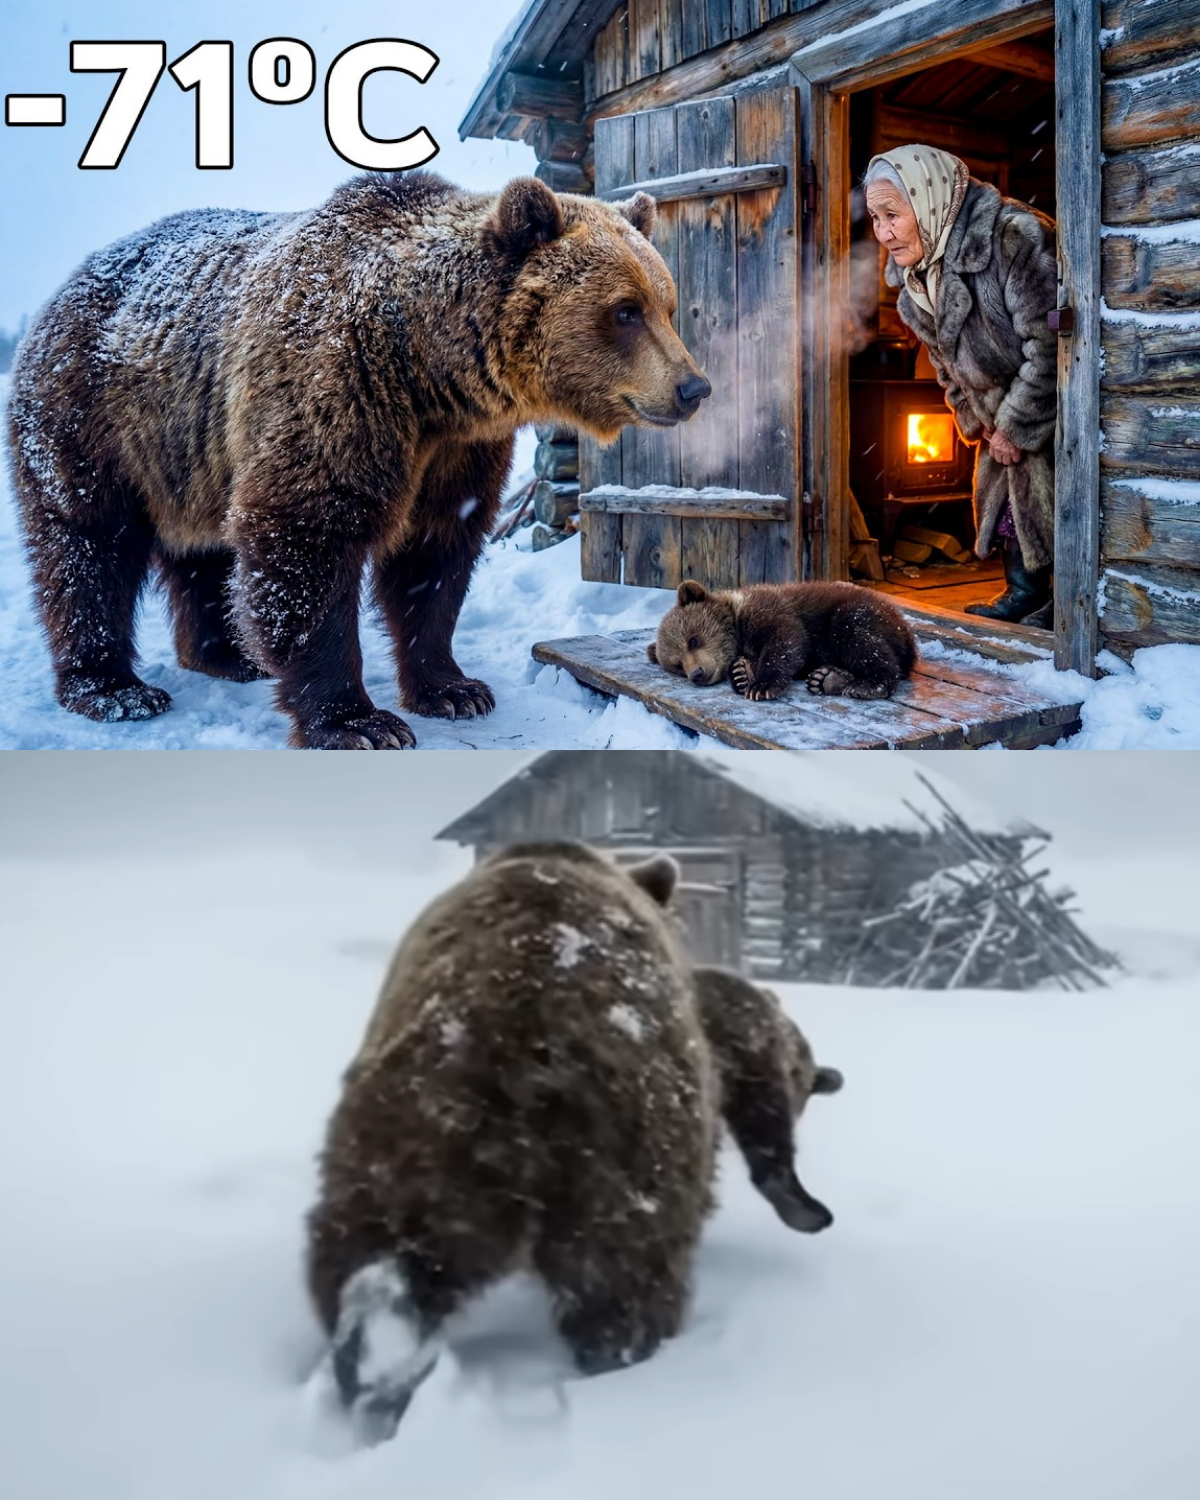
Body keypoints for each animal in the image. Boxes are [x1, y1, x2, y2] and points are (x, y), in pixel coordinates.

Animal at [8, 172, 711, 749]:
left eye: (667, 303)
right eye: (625, 310)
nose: (693, 388)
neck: (428, 371)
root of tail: (61, 291)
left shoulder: (454, 451)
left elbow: (435, 558)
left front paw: (453, 688)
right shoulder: (335, 392)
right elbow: (308, 539)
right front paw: (357, 721)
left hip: (193, 453)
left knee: (204, 552)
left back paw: (227, 655)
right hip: (94, 420)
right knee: (88, 546)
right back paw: (114, 688)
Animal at [305, 840, 833, 1444]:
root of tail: (519, 1053)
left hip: (407, 1139)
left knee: (374, 1251)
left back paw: (374, 1365)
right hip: (630, 1150)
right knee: (624, 1279)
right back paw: (622, 1362)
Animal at [648, 579, 918, 701]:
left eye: (692, 640)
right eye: (677, 664)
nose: (697, 673)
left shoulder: (769, 611)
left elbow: (786, 640)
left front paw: (762, 685)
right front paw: (741, 673)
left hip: (859, 614)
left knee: (858, 636)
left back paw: (868, 684)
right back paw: (827, 679)